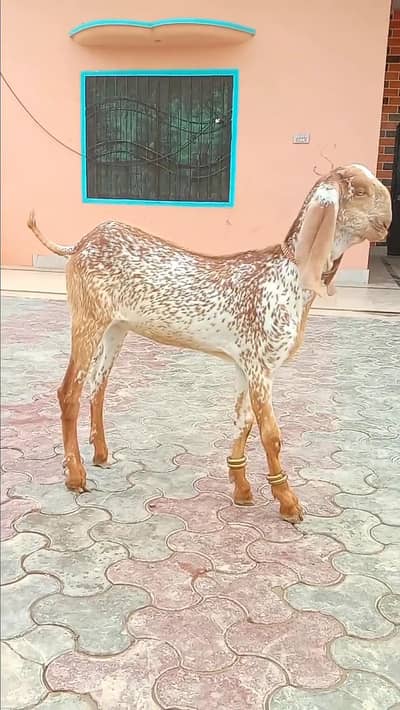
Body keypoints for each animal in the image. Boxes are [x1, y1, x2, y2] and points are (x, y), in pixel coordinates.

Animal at [28, 164, 391, 523]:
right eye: (360, 191)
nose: (388, 222)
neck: (287, 276)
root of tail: (81, 243)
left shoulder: (245, 364)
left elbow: (243, 423)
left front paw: (242, 489)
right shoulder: (262, 366)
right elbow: (271, 435)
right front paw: (288, 503)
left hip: (115, 328)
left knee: (97, 387)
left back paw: (101, 455)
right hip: (87, 319)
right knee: (69, 392)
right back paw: (76, 476)